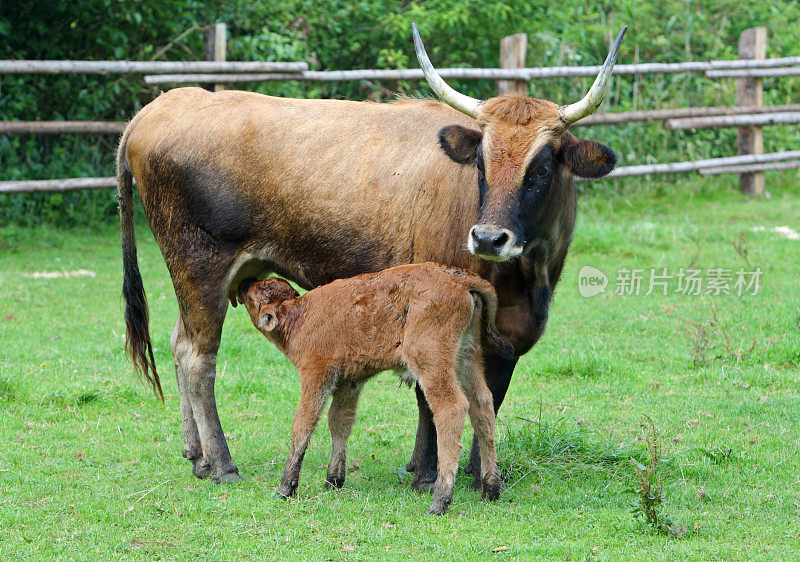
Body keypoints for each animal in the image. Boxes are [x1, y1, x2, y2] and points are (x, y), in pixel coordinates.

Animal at [117, 24, 624, 484]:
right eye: (481, 162)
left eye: (542, 167)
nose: (487, 238)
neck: (525, 278)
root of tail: (158, 107)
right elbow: (430, 399)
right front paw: (427, 472)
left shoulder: (507, 338)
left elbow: (490, 399)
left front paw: (477, 471)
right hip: (200, 268)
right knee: (198, 357)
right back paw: (221, 463)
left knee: (178, 344)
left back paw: (196, 455)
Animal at [234, 262, 516, 512]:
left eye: (253, 293)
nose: (245, 282)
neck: (298, 315)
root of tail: (460, 278)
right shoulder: (349, 383)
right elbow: (339, 423)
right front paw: (333, 480)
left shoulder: (315, 376)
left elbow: (303, 425)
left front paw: (286, 487)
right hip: (468, 356)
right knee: (482, 404)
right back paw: (491, 489)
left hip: (432, 362)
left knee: (452, 408)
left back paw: (440, 501)